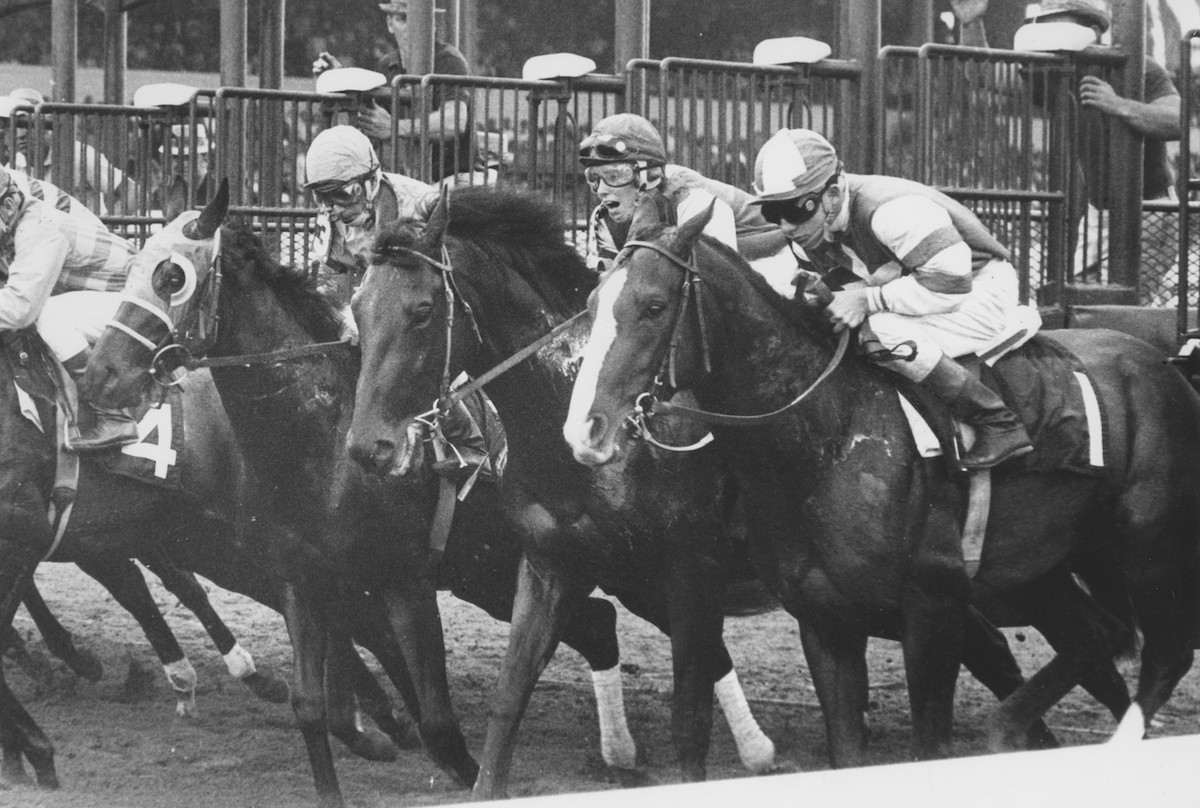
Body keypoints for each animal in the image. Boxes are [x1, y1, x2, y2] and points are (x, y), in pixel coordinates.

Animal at [81, 181, 657, 806]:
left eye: (171, 277)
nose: (101, 373)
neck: (324, 452)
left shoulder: (404, 583)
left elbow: (439, 727)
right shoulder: (303, 582)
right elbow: (314, 710)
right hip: (494, 574)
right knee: (597, 623)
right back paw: (619, 754)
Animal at [561, 200, 1200, 763]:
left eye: (653, 306)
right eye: (592, 302)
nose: (583, 429)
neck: (829, 437)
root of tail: (1163, 366)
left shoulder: (933, 607)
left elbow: (928, 742)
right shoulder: (824, 618)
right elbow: (845, 746)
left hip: (1148, 548)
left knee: (1167, 652)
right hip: (1046, 564)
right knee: (1098, 633)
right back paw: (1009, 728)